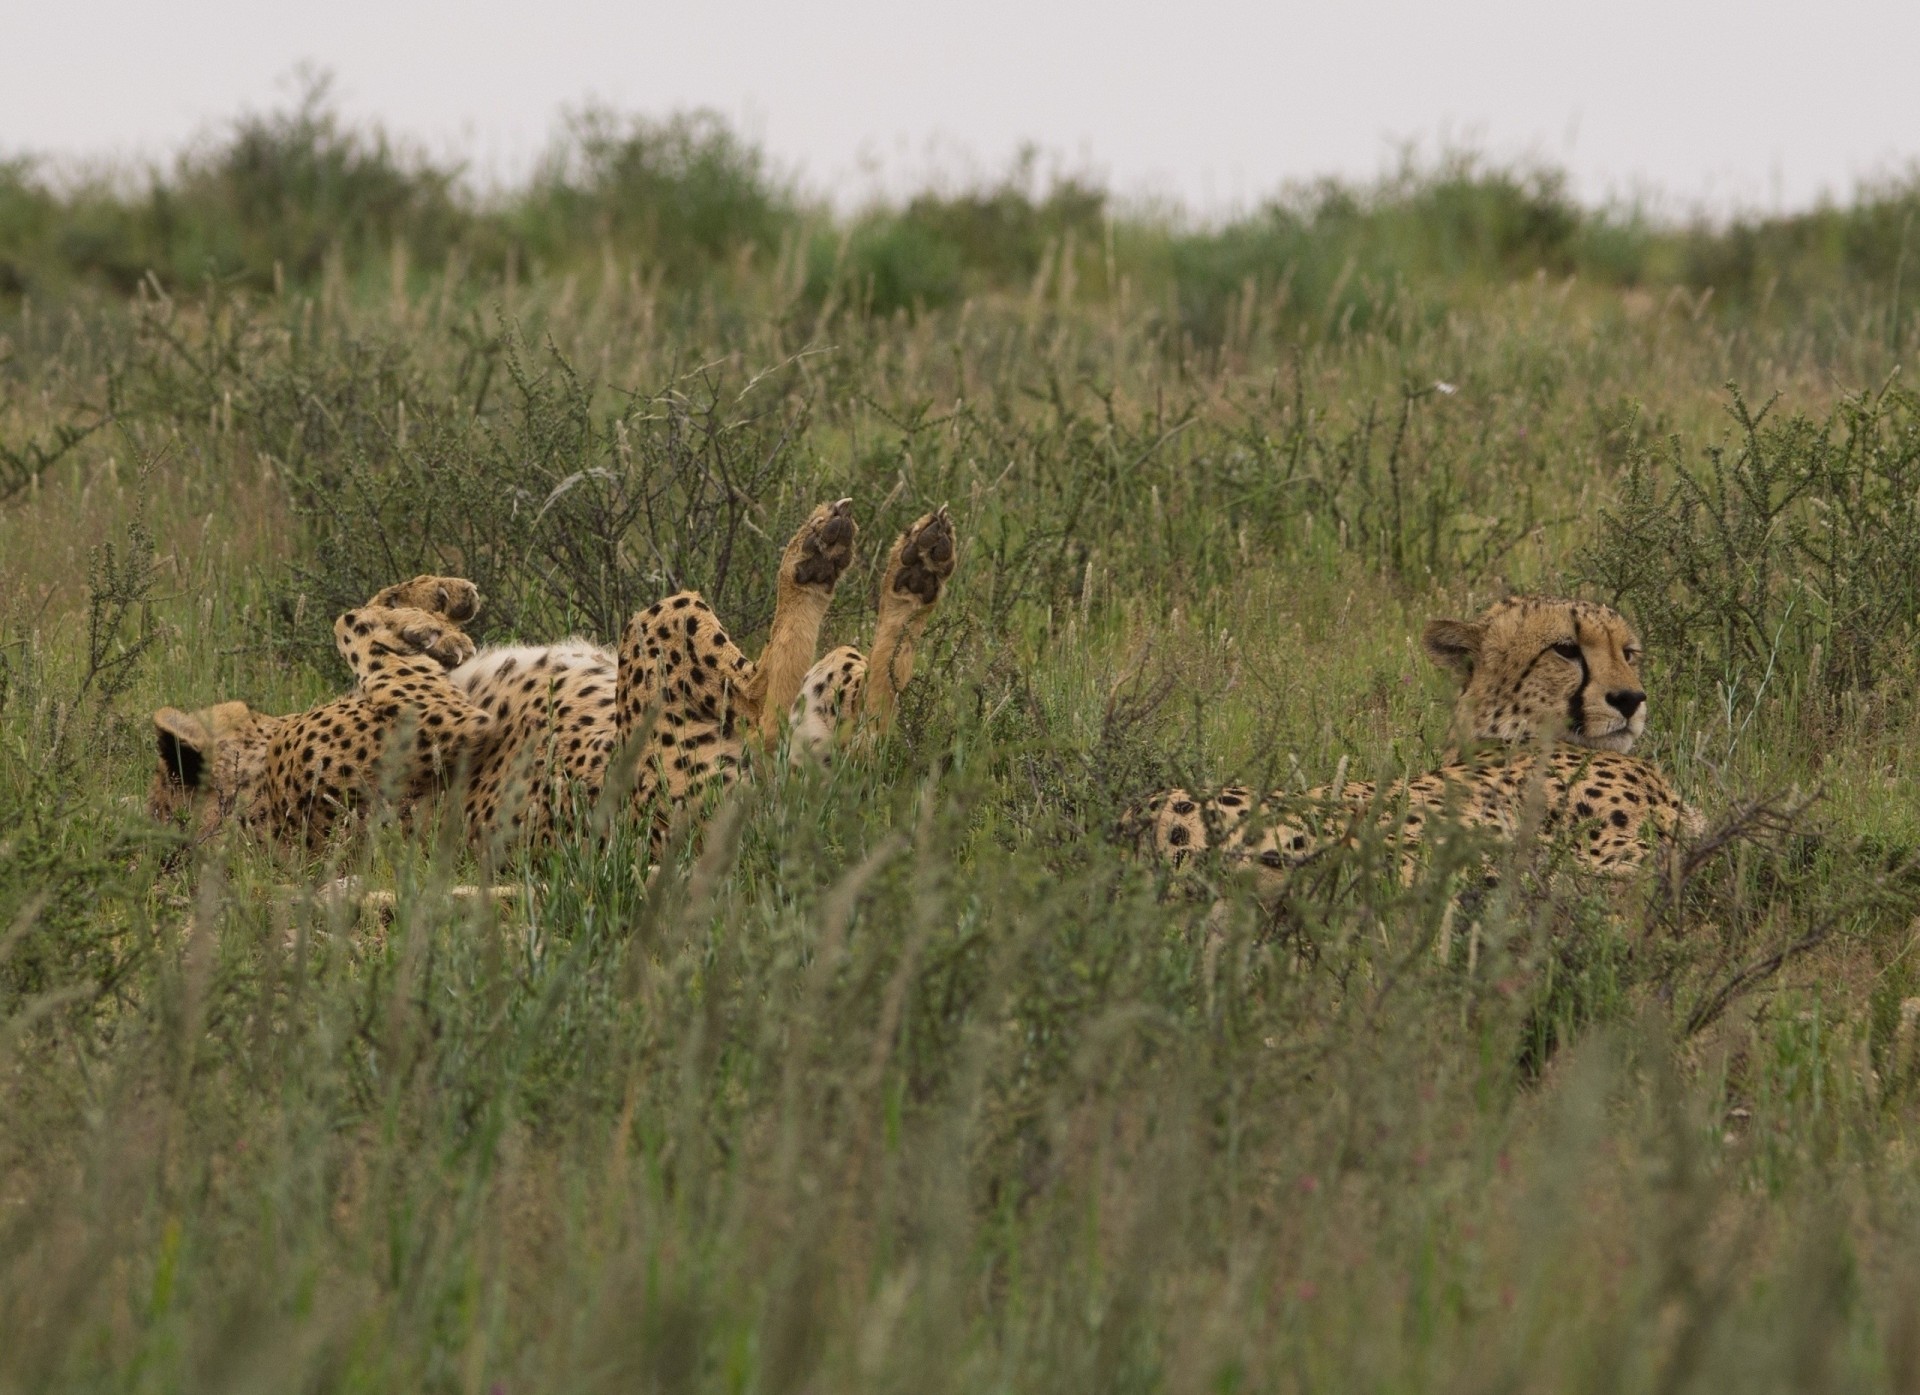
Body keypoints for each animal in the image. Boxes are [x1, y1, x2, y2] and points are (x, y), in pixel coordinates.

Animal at [149, 495, 960, 855]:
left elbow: (358, 615)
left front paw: (434, 607)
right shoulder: (436, 723)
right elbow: (350, 625)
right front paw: (426, 622)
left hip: (823, 704)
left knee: (868, 710)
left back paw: (907, 566)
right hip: (661, 630)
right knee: (772, 706)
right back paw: (827, 554)